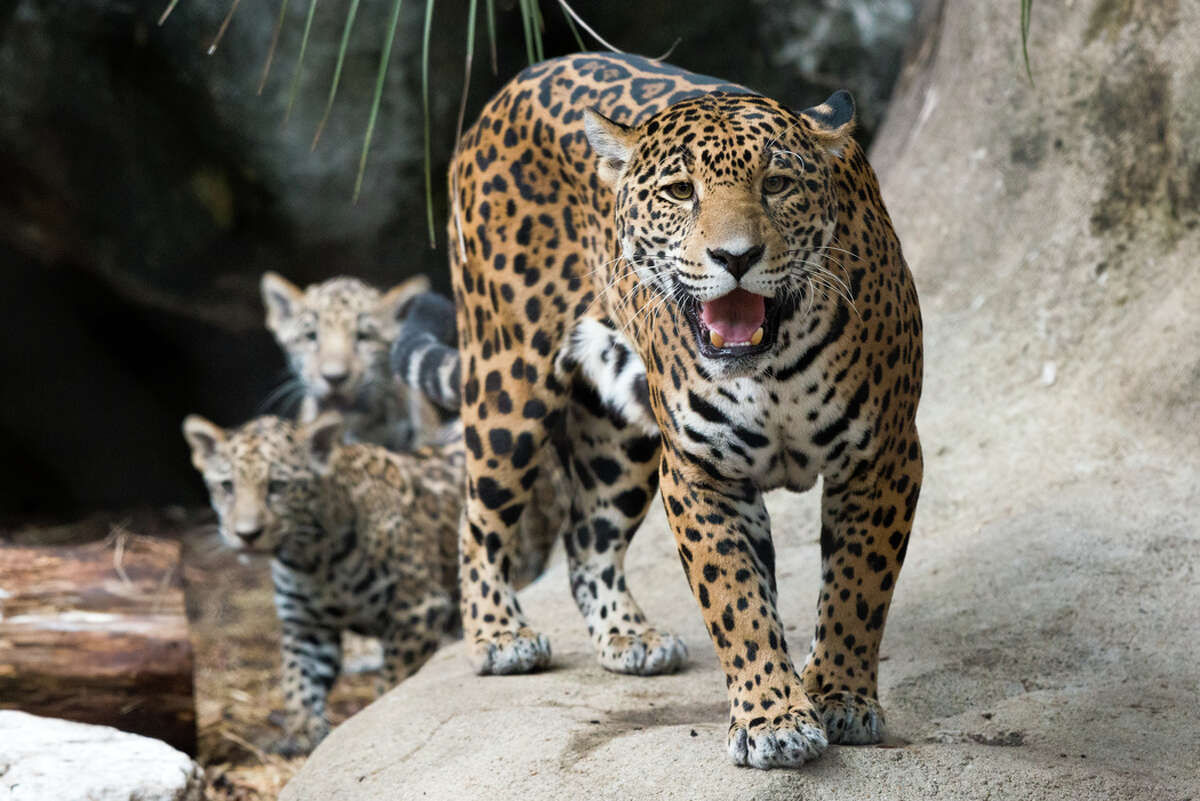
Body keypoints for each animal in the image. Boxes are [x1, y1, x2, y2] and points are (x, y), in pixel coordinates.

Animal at [182, 411, 463, 755]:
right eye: (227, 486)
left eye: (277, 486)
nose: (247, 534)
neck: (313, 559)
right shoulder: (307, 625)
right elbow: (299, 682)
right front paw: (302, 735)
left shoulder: (418, 610)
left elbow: (396, 679)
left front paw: (381, 714)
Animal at [442, 52, 923, 770]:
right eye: (678, 191)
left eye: (777, 184)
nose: (736, 257)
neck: (772, 367)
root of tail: (512, 86)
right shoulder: (700, 473)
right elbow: (738, 602)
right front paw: (773, 716)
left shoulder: (884, 457)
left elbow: (858, 589)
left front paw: (839, 693)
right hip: (506, 385)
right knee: (477, 520)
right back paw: (500, 637)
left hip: (622, 436)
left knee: (587, 537)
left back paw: (630, 637)